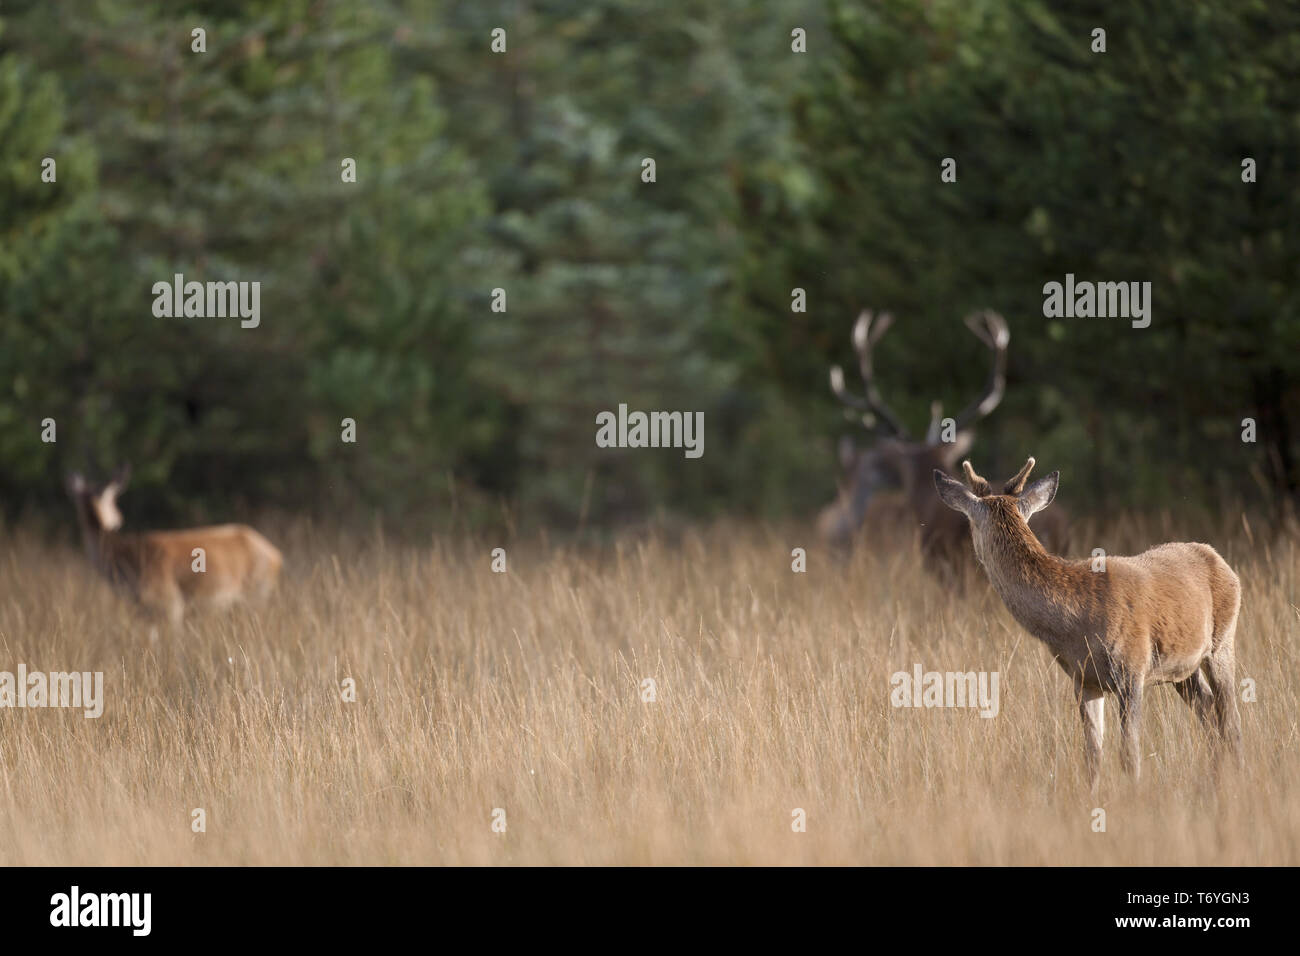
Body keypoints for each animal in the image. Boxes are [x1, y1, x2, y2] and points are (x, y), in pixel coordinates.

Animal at [930, 455, 1242, 790]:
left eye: (969, 523)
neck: (1075, 622)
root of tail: (1219, 558)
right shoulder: (1084, 679)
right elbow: (1092, 755)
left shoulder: (1132, 669)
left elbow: (1129, 753)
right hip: (1182, 668)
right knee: (1208, 709)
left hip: (1223, 640)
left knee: (1231, 719)